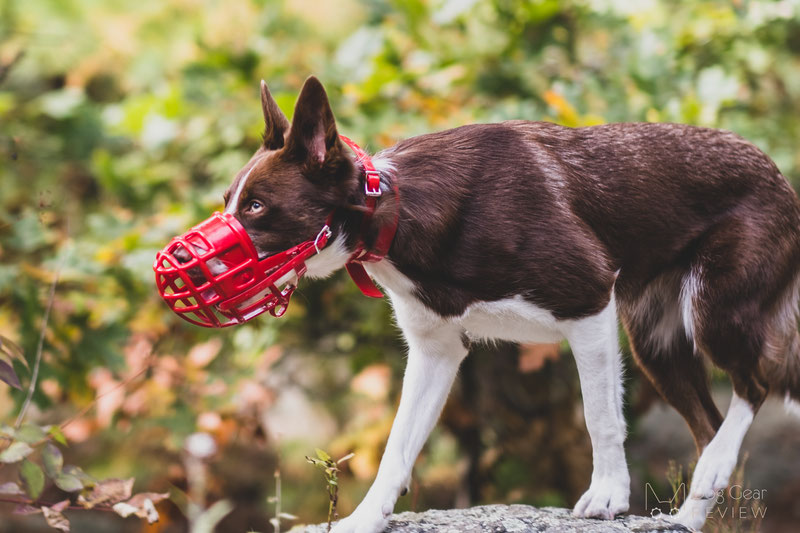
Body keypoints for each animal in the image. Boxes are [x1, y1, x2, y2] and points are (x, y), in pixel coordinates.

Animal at [222, 76, 800, 532]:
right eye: (229, 201)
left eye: (257, 207)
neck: (395, 208)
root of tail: (778, 175)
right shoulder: (436, 351)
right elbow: (397, 447)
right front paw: (364, 519)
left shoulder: (588, 303)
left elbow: (599, 417)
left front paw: (608, 495)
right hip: (654, 343)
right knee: (707, 422)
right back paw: (691, 510)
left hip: (713, 312)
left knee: (754, 386)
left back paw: (714, 467)